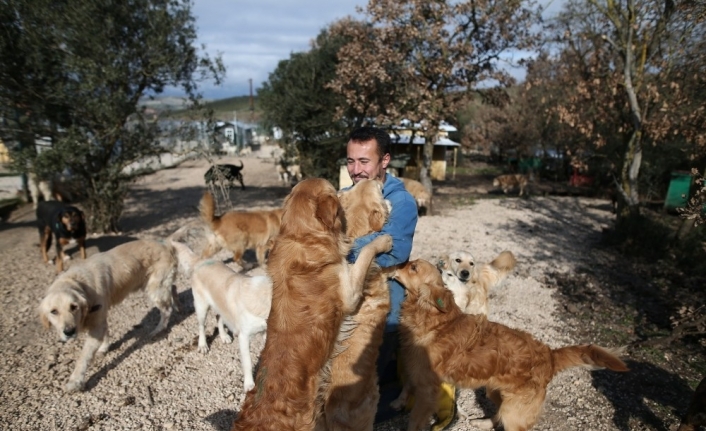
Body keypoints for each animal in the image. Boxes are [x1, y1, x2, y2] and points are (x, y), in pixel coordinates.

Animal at [37, 241, 179, 394]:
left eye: (74, 307)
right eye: (54, 311)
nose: (69, 332)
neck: (79, 283)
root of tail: (165, 244)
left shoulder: (96, 325)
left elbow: (83, 357)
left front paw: (75, 381)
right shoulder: (99, 320)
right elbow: (105, 334)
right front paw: (104, 348)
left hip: (155, 290)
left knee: (166, 310)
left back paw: (158, 329)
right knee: (173, 289)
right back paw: (177, 304)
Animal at [169, 238, 270, 394]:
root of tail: (201, 261)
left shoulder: (266, 331)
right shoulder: (244, 337)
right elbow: (247, 363)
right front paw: (249, 384)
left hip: (220, 306)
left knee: (219, 317)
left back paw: (224, 336)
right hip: (201, 307)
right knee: (201, 326)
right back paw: (203, 345)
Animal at [390, 260, 628, 431]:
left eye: (413, 267)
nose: (392, 264)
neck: (433, 320)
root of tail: (549, 354)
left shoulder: (428, 390)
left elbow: (415, 421)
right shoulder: (414, 368)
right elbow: (406, 385)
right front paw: (398, 402)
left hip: (515, 414)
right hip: (495, 392)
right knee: (499, 413)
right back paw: (484, 422)